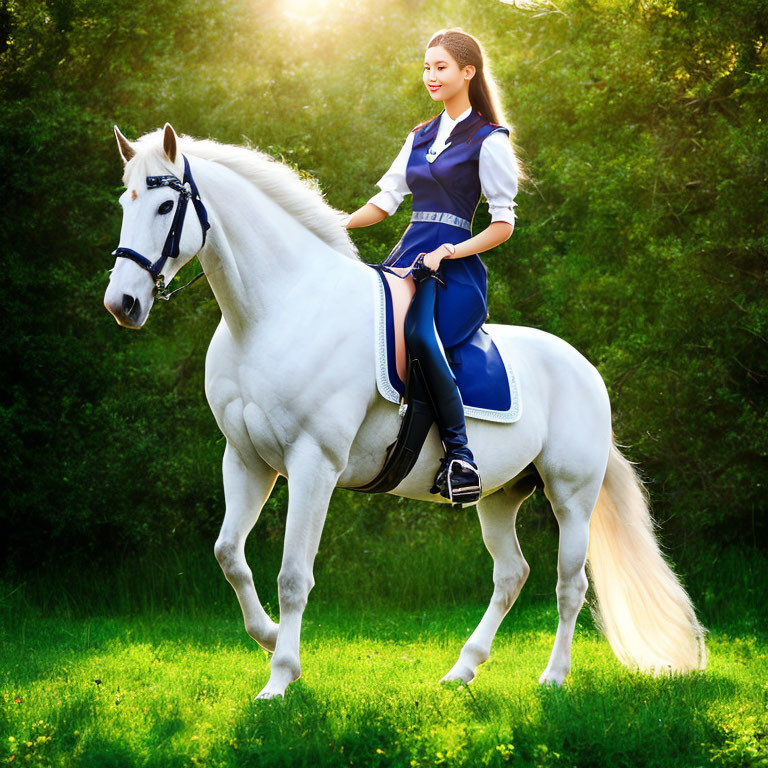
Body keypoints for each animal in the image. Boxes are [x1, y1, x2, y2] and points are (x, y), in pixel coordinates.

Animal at [105, 123, 704, 700]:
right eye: (123, 202)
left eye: (165, 206)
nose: (122, 304)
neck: (272, 314)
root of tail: (585, 370)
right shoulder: (247, 459)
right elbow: (229, 554)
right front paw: (271, 638)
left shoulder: (313, 464)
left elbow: (293, 576)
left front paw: (280, 679)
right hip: (499, 493)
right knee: (512, 574)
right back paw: (462, 671)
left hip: (570, 494)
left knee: (569, 584)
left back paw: (553, 678)